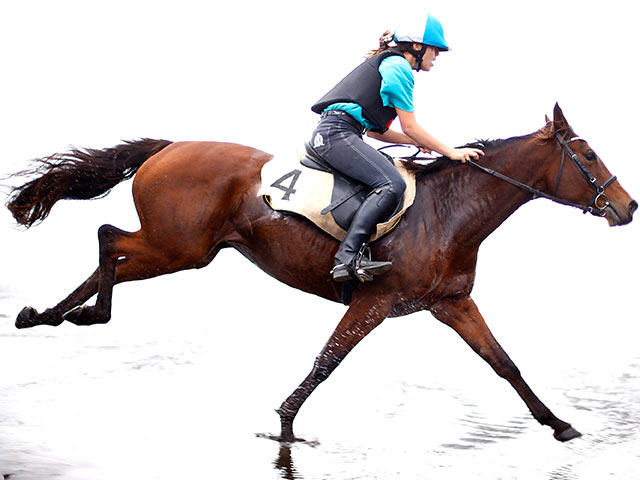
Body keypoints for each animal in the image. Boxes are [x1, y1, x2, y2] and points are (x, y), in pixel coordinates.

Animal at [5, 104, 636, 442]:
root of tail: (170, 146)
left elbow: (504, 363)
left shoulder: (452, 303)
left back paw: (48, 315)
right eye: (589, 155)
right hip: (177, 246)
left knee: (109, 253)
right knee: (109, 238)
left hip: (185, 249)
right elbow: (328, 361)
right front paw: (286, 424)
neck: (448, 211)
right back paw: (86, 314)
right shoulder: (373, 302)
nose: (627, 207)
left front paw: (559, 424)